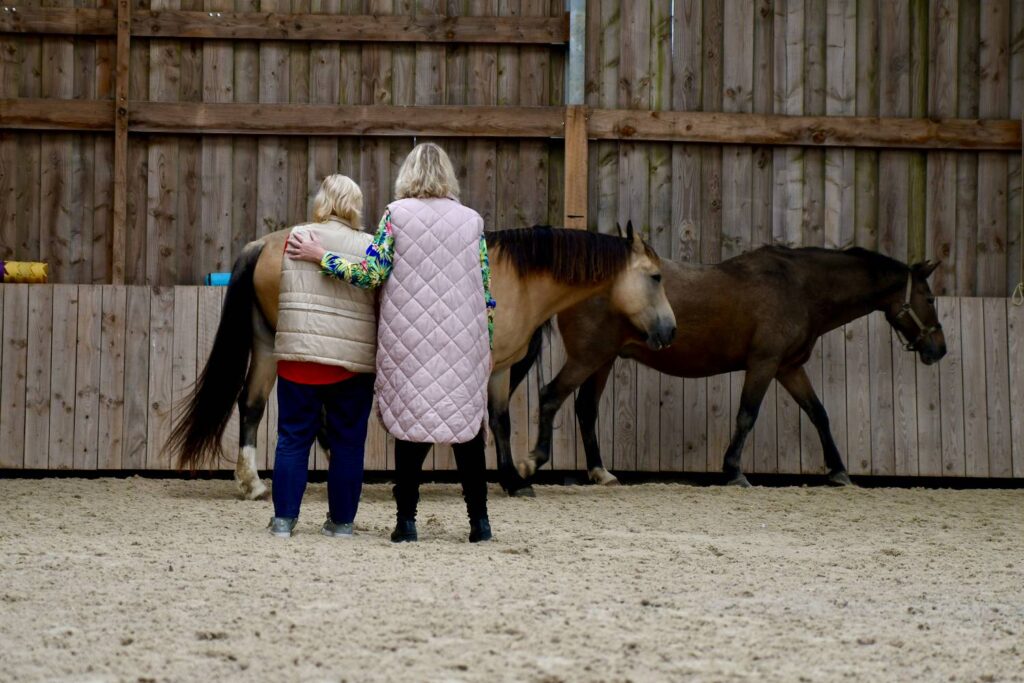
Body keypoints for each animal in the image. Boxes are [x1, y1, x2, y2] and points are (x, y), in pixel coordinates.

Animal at [165, 224, 679, 497]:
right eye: (655, 277)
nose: (669, 331)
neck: (512, 277)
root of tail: (268, 243)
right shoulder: (481, 367)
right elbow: (473, 420)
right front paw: (513, 477)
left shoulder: (498, 369)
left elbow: (496, 420)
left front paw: (512, 478)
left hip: (270, 344)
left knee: (253, 407)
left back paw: (255, 482)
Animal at [509, 248, 942, 489]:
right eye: (930, 298)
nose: (939, 349)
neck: (799, 287)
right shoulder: (764, 363)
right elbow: (747, 415)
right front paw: (733, 471)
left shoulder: (788, 368)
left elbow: (818, 414)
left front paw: (838, 471)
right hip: (589, 356)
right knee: (551, 396)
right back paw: (532, 461)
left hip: (603, 359)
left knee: (585, 409)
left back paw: (601, 473)